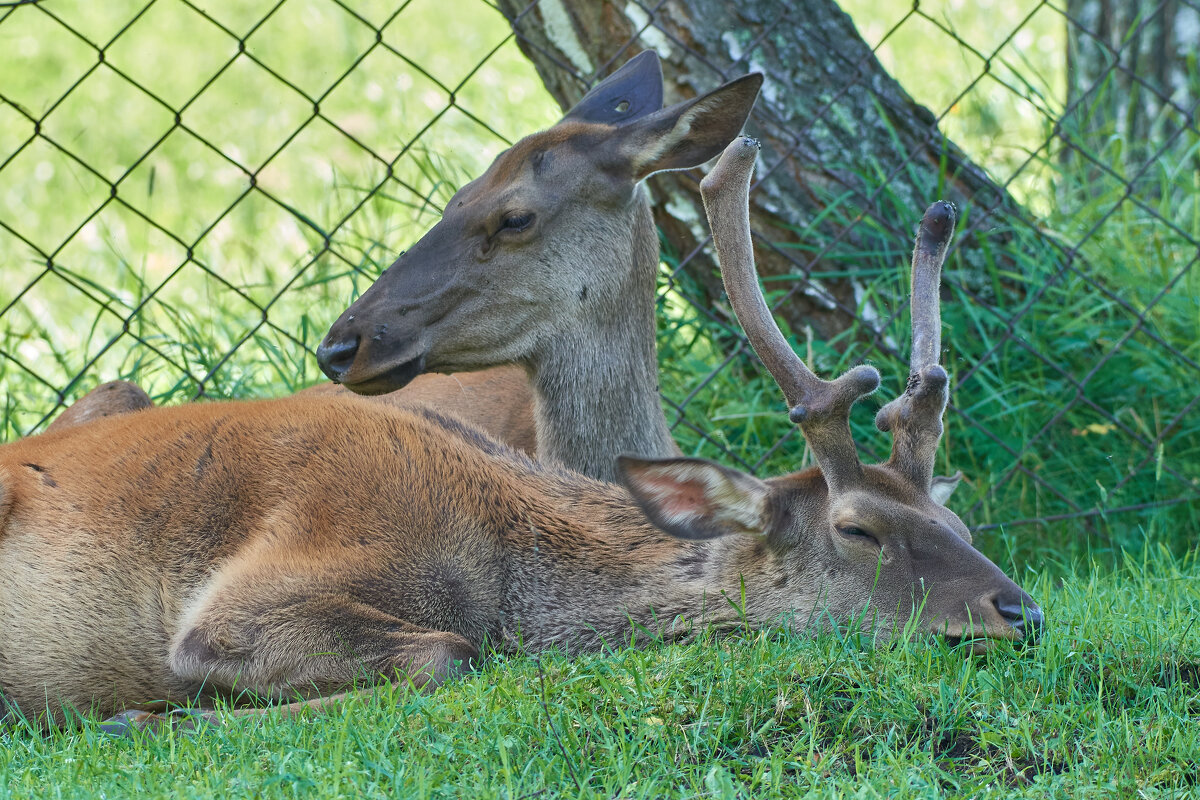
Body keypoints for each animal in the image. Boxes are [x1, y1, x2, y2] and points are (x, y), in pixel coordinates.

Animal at [0, 137, 1041, 738]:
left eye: (962, 526)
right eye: (857, 529)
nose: (1020, 612)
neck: (505, 570)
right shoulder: (258, 586)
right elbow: (449, 654)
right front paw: (140, 718)